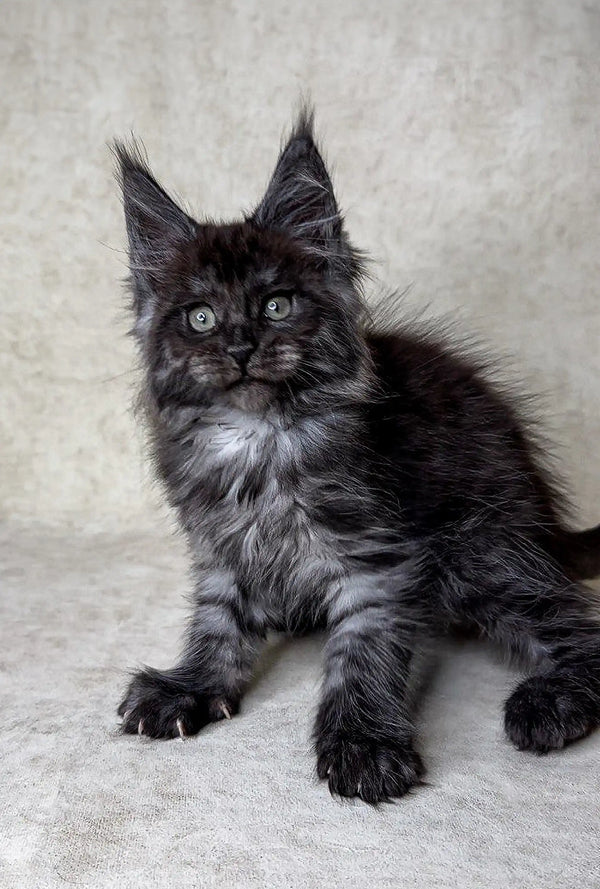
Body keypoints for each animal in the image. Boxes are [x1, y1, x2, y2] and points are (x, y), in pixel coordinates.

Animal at [116, 107, 600, 800]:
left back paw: (551, 701)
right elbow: (217, 625)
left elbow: (362, 653)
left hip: (480, 546)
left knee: (576, 625)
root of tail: (544, 517)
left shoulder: (377, 560)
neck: (261, 440)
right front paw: (192, 686)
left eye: (277, 305)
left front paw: (363, 741)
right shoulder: (221, 551)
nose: (240, 346)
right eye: (201, 317)